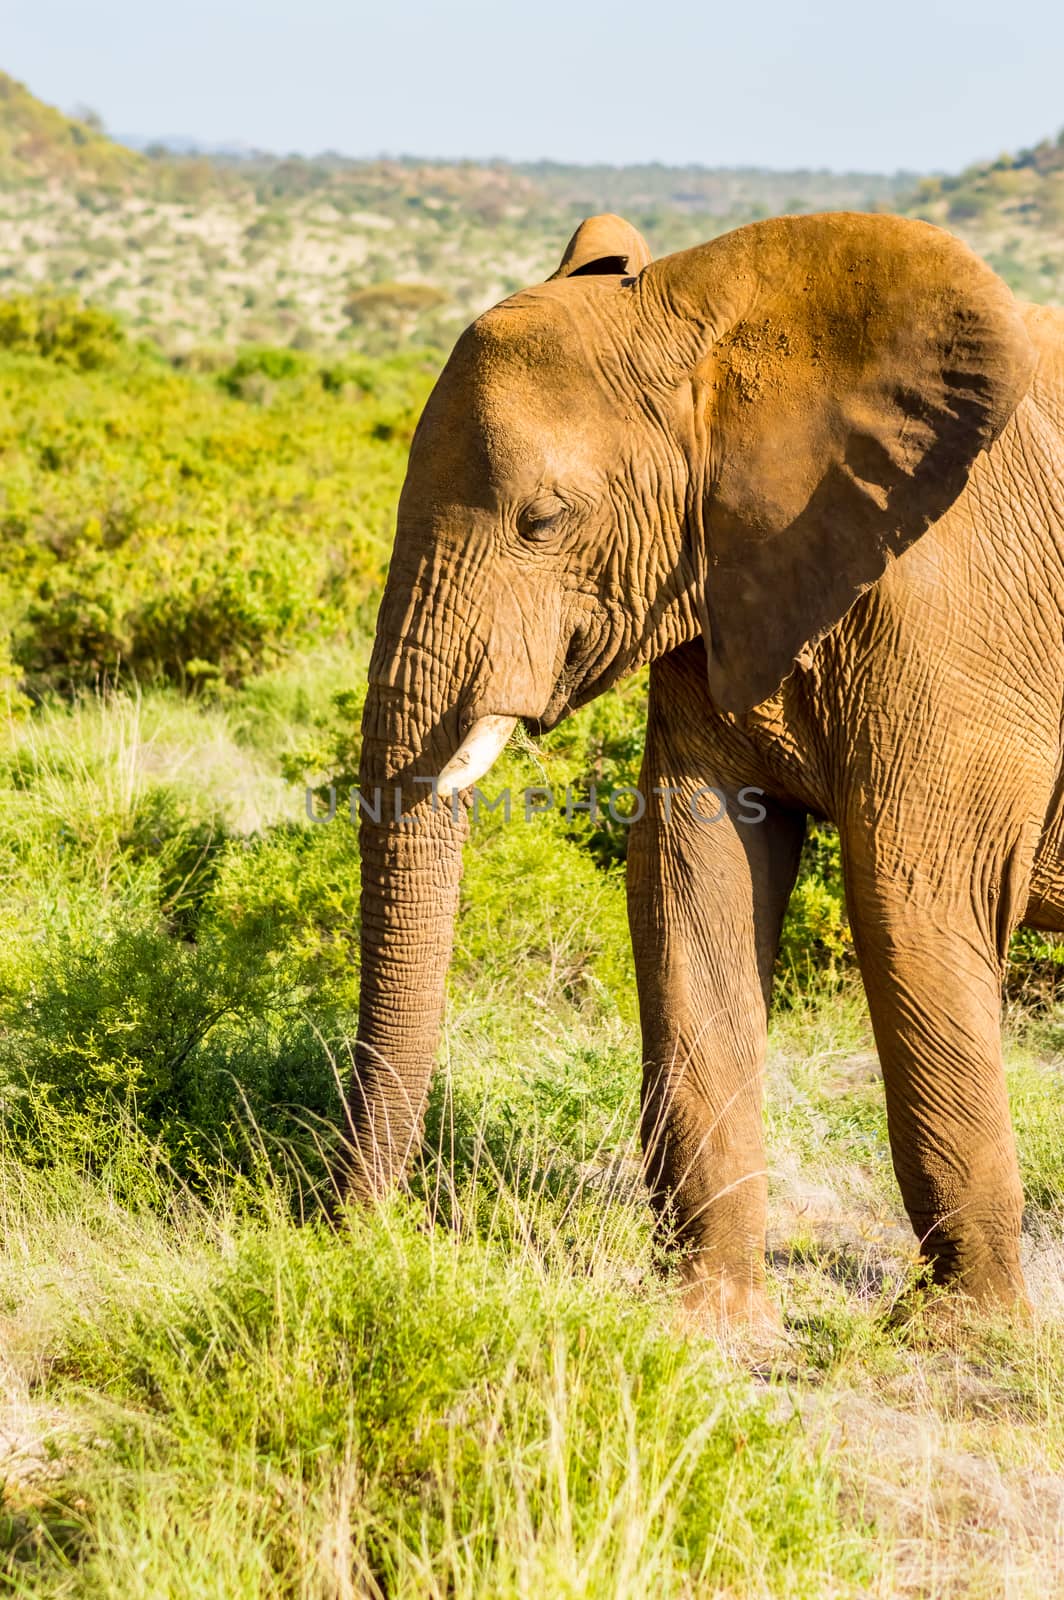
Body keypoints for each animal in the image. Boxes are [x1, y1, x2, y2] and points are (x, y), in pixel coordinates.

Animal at [350, 209, 1062, 1337]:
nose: (346, 1230)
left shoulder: (966, 610)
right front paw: (708, 1326)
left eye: (542, 522)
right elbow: (693, 872)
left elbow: (910, 900)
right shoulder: (714, 578)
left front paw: (969, 1340)